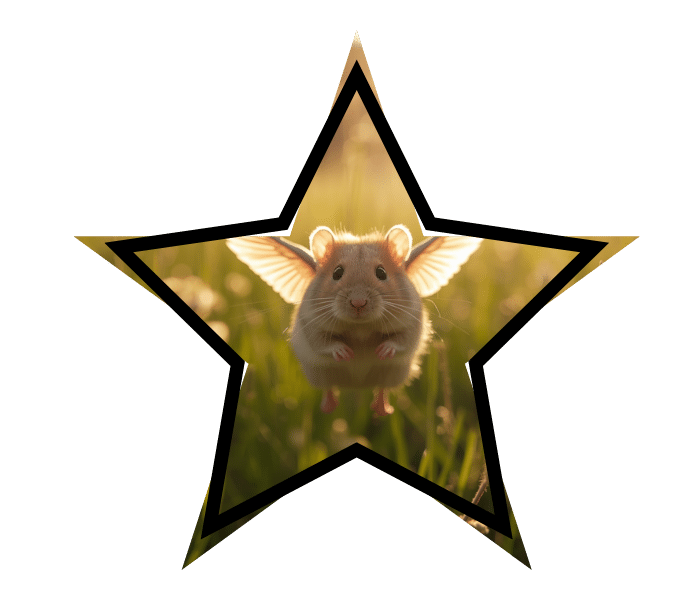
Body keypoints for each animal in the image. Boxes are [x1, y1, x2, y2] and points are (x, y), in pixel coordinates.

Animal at [226, 225, 482, 416]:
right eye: (337, 273)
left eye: (382, 273)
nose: (358, 303)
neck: (361, 327)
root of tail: (357, 387)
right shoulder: (311, 324)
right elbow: (324, 342)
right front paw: (346, 354)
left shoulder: (411, 321)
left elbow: (401, 340)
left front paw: (382, 350)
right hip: (320, 373)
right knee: (329, 389)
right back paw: (329, 408)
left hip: (393, 373)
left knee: (381, 390)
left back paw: (381, 410)